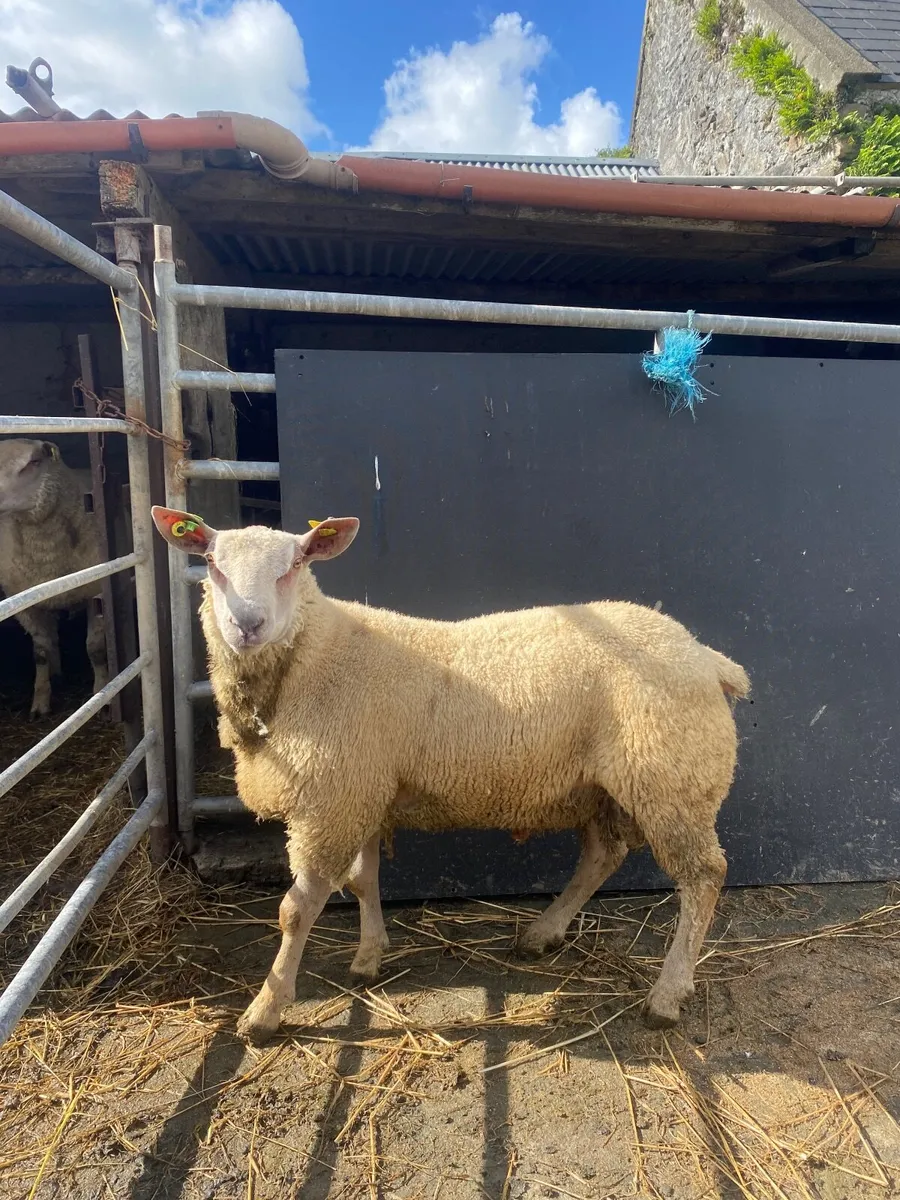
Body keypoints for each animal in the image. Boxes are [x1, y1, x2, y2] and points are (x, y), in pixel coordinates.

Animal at [0, 439, 107, 717]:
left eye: (34, 462)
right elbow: (40, 652)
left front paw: (101, 695)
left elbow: (95, 648)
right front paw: (39, 703)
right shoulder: (25, 604)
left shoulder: (96, 593)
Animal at [152, 505, 750, 1045]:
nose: (247, 625)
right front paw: (368, 957)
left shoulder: (331, 801)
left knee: (704, 877)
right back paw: (543, 933)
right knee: (603, 857)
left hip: (671, 781)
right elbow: (364, 880)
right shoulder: (364, 788)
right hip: (605, 787)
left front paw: (265, 1010)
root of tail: (705, 657)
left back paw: (666, 995)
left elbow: (296, 912)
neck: (312, 658)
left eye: (296, 563)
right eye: (211, 562)